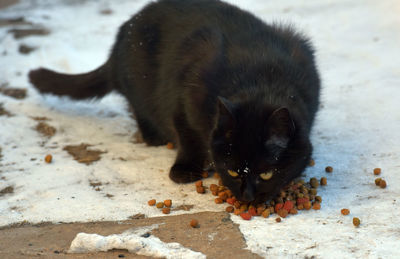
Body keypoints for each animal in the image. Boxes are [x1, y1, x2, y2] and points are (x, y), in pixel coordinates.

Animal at [29, 0, 320, 205]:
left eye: (267, 174)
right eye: (234, 172)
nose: (247, 197)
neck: (262, 81)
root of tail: (121, 38)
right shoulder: (184, 96)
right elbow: (188, 135)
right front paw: (184, 170)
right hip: (139, 82)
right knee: (139, 108)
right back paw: (154, 136)